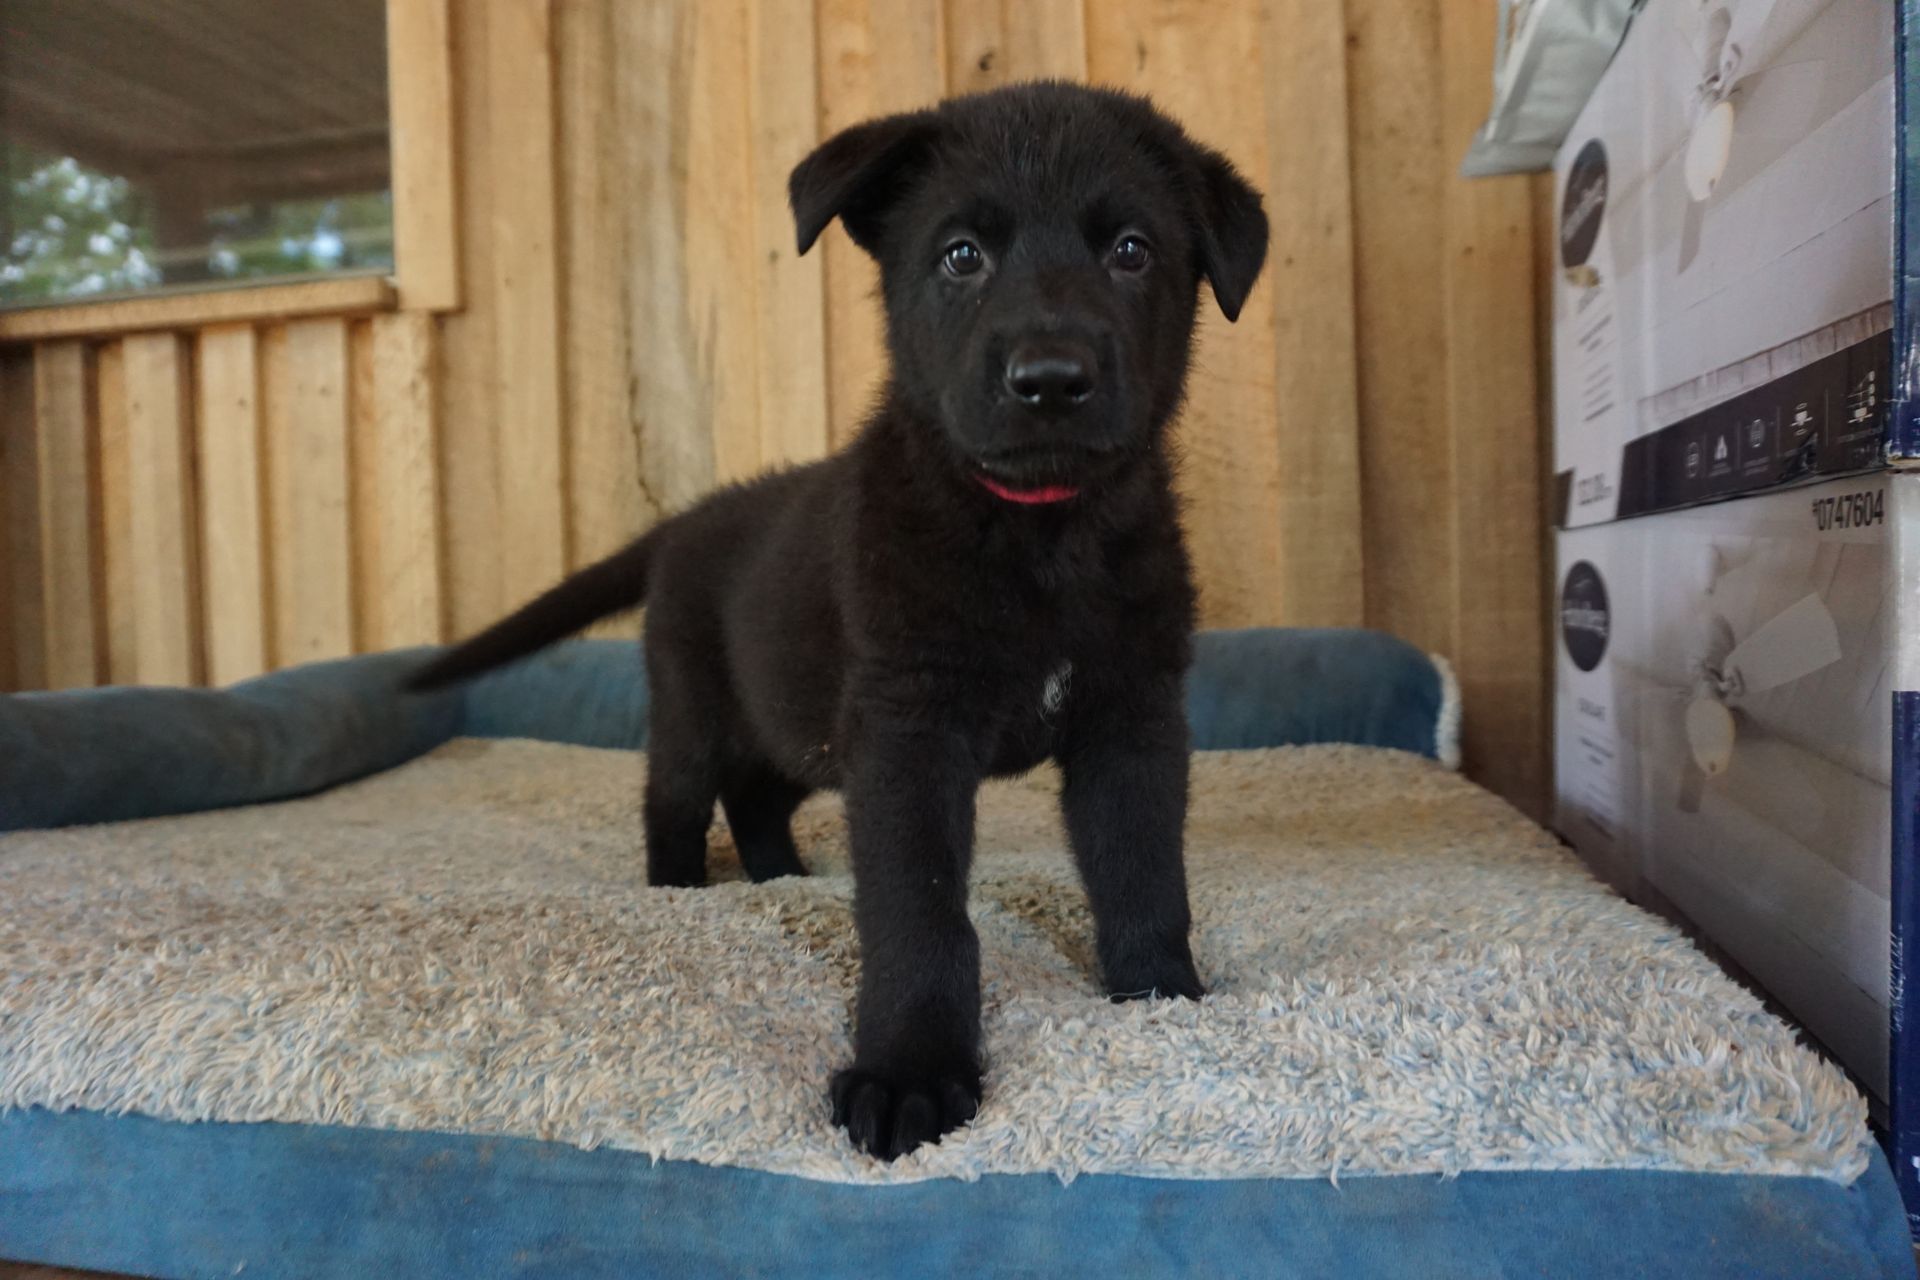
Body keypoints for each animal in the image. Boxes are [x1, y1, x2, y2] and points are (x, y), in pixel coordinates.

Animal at [412, 80, 1267, 1159]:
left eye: (1132, 250)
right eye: (961, 255)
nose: (1050, 378)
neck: (1039, 536)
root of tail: (682, 521)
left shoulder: (1131, 716)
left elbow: (1143, 866)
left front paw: (1162, 996)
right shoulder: (907, 731)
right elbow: (920, 909)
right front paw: (911, 1071)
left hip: (800, 722)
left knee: (757, 795)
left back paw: (781, 876)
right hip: (698, 708)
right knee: (675, 799)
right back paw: (681, 891)